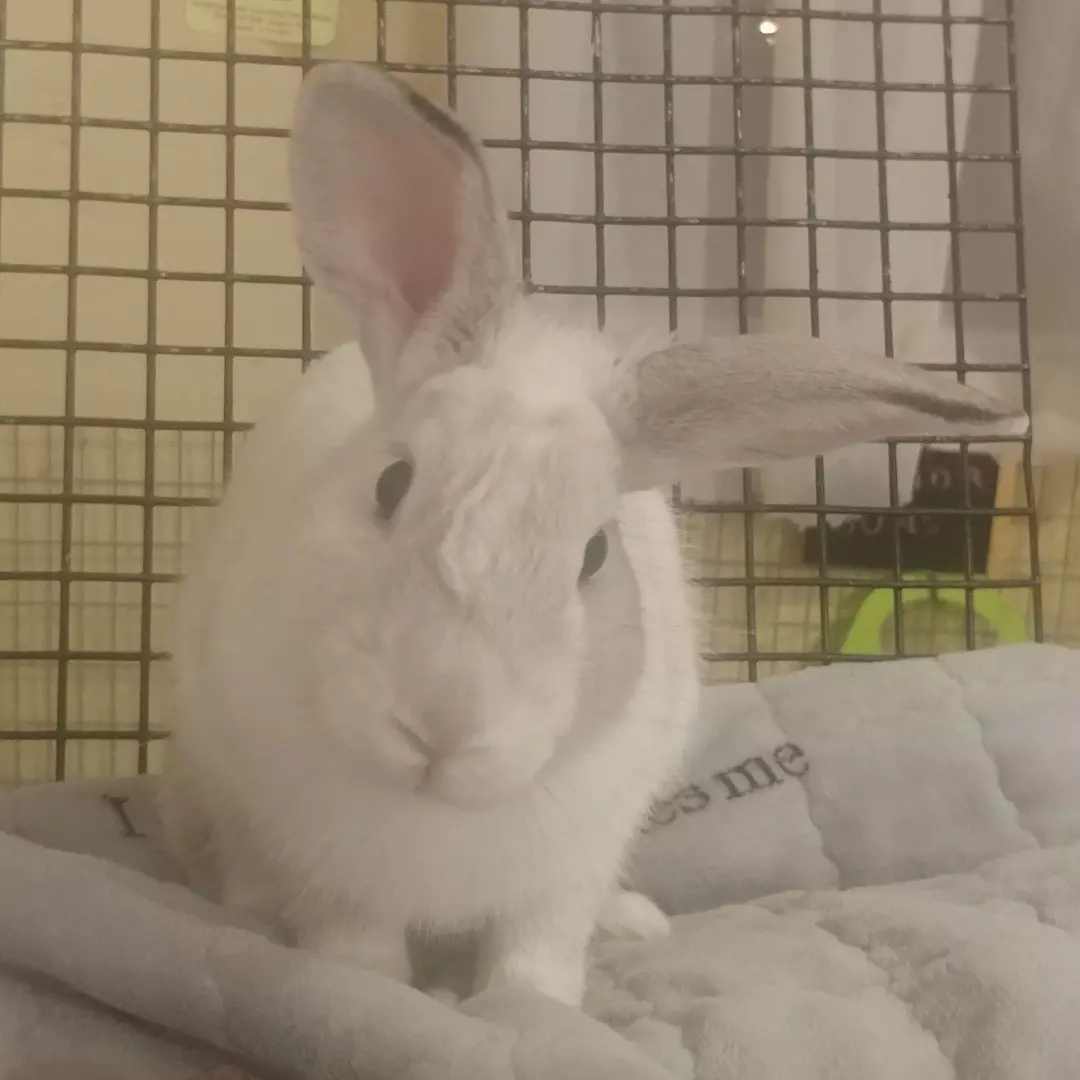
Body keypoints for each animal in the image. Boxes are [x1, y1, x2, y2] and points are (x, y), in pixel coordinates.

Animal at [157, 62, 1028, 1008]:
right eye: (391, 485)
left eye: (595, 555)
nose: (442, 728)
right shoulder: (323, 861)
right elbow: (357, 946)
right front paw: (374, 987)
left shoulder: (571, 860)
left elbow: (535, 949)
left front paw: (524, 1006)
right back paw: (245, 905)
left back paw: (632, 921)